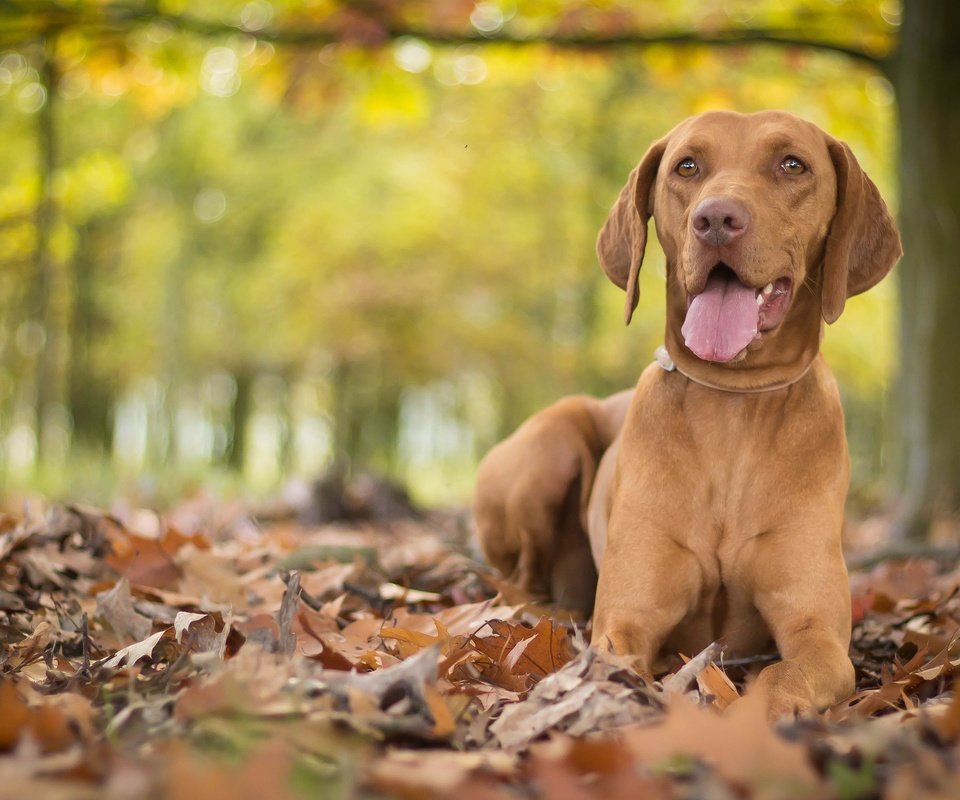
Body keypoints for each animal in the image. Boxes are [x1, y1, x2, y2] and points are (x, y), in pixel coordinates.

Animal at [472, 109, 900, 716]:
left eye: (793, 164)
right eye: (687, 166)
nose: (716, 218)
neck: (733, 401)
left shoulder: (818, 634)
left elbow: (787, 672)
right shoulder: (626, 619)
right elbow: (616, 657)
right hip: (549, 447)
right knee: (521, 578)